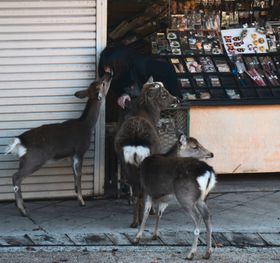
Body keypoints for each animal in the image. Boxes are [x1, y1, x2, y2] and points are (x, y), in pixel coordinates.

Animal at [4, 72, 112, 217]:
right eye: (103, 83)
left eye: (99, 81)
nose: (109, 73)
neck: (87, 125)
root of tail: (20, 141)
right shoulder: (80, 151)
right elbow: (79, 175)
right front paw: (82, 202)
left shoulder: (72, 155)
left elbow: (74, 176)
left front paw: (78, 198)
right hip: (34, 160)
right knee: (16, 177)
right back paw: (23, 210)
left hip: (24, 160)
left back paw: (22, 206)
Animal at [113, 79, 177, 228]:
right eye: (164, 94)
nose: (176, 99)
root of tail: (136, 145)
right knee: (144, 191)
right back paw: (145, 217)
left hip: (127, 166)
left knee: (137, 191)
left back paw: (134, 222)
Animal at [133, 134, 217, 262]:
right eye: (195, 146)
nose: (211, 153)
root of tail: (209, 172)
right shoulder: (165, 198)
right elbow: (159, 213)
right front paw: (154, 235)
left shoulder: (146, 190)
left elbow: (146, 213)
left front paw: (137, 238)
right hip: (202, 198)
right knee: (207, 216)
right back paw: (207, 253)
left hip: (185, 196)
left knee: (198, 217)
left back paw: (191, 253)